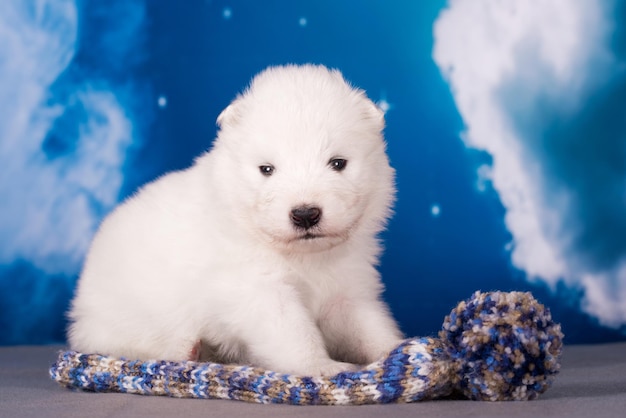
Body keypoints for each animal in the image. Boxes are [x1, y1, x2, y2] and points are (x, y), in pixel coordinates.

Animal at [68, 64, 402, 376]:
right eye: (267, 169)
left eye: (338, 163)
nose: (305, 214)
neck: (304, 257)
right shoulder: (259, 290)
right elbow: (294, 334)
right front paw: (321, 366)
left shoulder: (347, 289)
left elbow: (368, 326)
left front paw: (396, 350)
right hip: (117, 319)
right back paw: (188, 349)